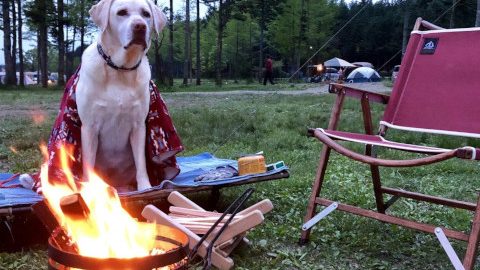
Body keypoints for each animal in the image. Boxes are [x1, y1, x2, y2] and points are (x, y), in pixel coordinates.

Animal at [79, 0, 167, 191]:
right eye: (122, 12)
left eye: (146, 14)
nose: (140, 26)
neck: (120, 69)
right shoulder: (89, 126)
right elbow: (88, 163)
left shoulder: (138, 126)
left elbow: (141, 162)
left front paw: (145, 187)